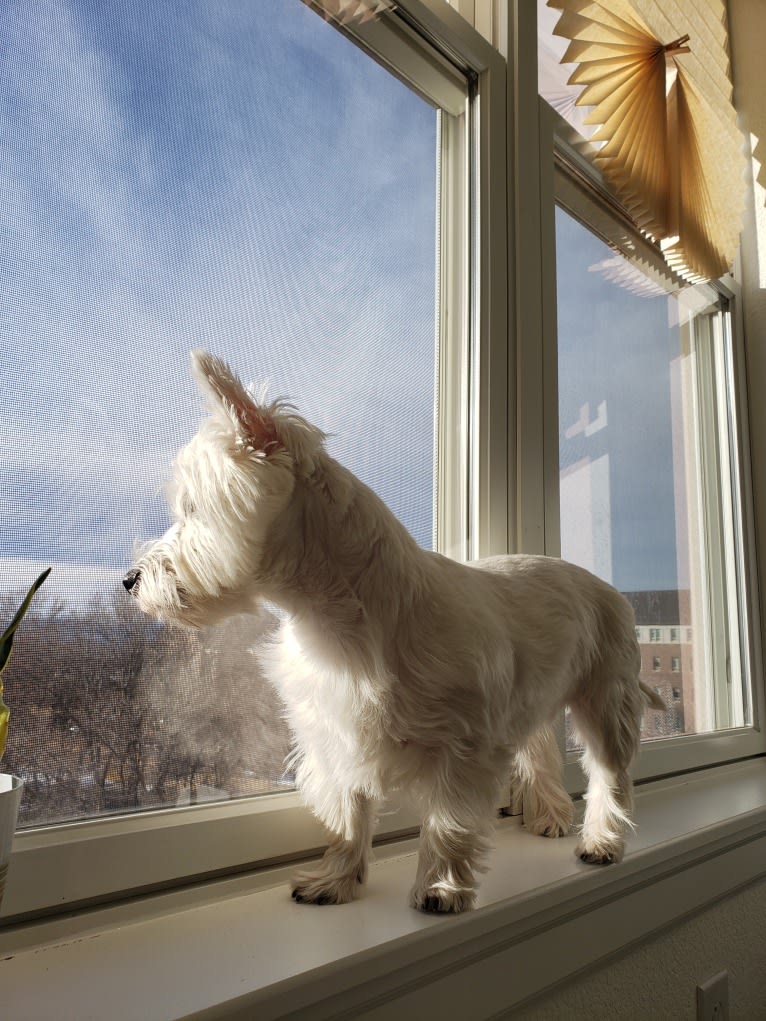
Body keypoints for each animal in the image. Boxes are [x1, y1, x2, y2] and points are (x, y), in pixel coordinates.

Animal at [124, 353, 665, 918]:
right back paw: (551, 817)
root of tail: (606, 587)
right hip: (536, 695)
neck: (330, 617)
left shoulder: (462, 744)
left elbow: (448, 819)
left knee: (610, 775)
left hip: (606, 697)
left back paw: (601, 840)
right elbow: (347, 813)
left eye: (192, 511)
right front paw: (336, 879)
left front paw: (441, 888)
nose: (129, 581)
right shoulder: (338, 730)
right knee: (540, 751)